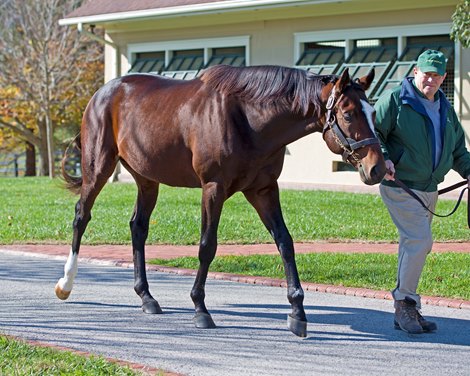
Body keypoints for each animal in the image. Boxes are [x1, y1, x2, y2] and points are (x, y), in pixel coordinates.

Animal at [55, 64, 386, 338]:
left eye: (372, 113)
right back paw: (66, 284)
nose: (378, 168)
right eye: (348, 114)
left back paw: (146, 297)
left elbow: (285, 242)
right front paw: (200, 309)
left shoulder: (264, 190)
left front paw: (297, 312)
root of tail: (102, 93)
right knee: (81, 217)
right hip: (98, 167)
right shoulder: (213, 188)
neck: (247, 120)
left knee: (138, 227)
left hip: (147, 179)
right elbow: (207, 246)